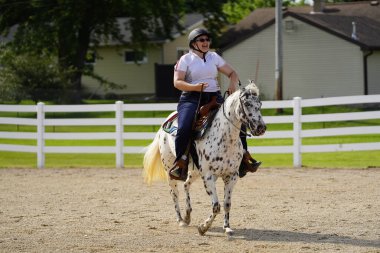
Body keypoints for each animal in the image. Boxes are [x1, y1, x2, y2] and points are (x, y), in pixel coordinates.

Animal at [143, 82, 268, 238]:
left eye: (260, 104)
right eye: (247, 103)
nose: (261, 128)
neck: (224, 138)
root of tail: (165, 124)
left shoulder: (231, 176)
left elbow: (226, 204)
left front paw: (227, 227)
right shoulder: (208, 176)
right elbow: (216, 206)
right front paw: (203, 227)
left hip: (195, 171)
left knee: (186, 185)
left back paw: (187, 215)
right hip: (170, 170)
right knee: (174, 193)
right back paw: (181, 220)